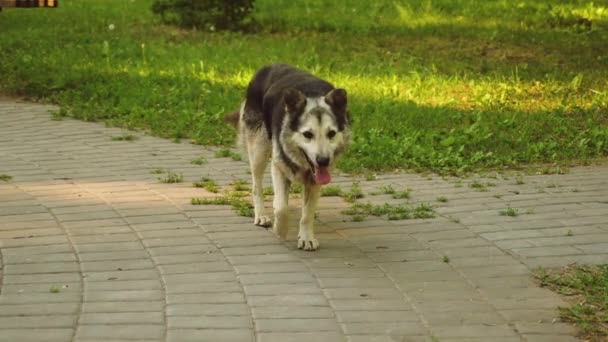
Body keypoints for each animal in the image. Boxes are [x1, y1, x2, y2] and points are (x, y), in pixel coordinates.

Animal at [226, 65, 352, 251]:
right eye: (307, 134)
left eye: (331, 133)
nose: (323, 161)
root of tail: (269, 66)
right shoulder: (278, 167)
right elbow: (281, 208)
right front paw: (280, 229)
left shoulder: (315, 181)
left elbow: (307, 213)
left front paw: (306, 237)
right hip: (259, 150)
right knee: (257, 186)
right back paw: (261, 215)